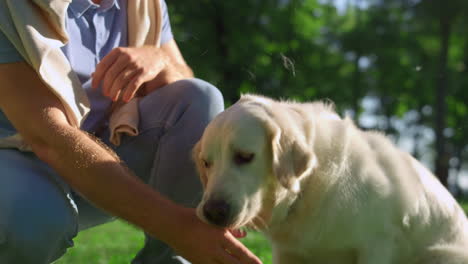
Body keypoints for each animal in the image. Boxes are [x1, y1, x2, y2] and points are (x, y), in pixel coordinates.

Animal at [191, 94, 468, 262]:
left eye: (245, 156)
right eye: (206, 163)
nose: (212, 212)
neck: (308, 186)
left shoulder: (377, 244)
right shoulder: (287, 253)